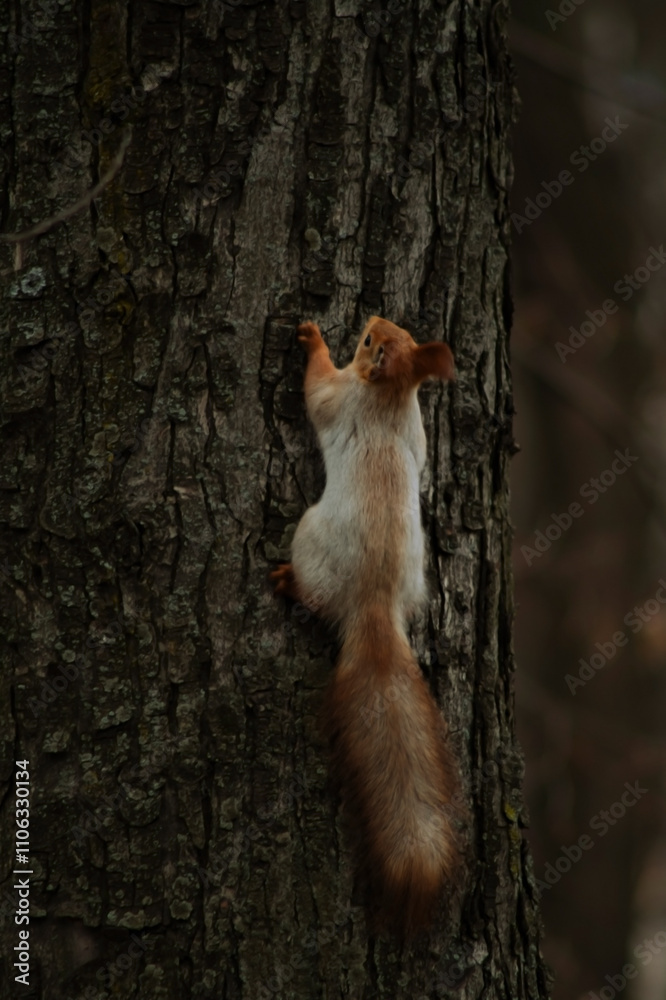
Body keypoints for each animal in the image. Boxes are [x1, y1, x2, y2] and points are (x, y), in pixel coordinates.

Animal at [271, 315, 463, 936]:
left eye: (367, 344)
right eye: (396, 330)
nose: (374, 319)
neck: (391, 394)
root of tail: (374, 607)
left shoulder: (342, 397)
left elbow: (316, 390)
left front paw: (312, 341)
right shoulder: (417, 432)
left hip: (310, 539)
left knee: (309, 590)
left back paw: (287, 582)